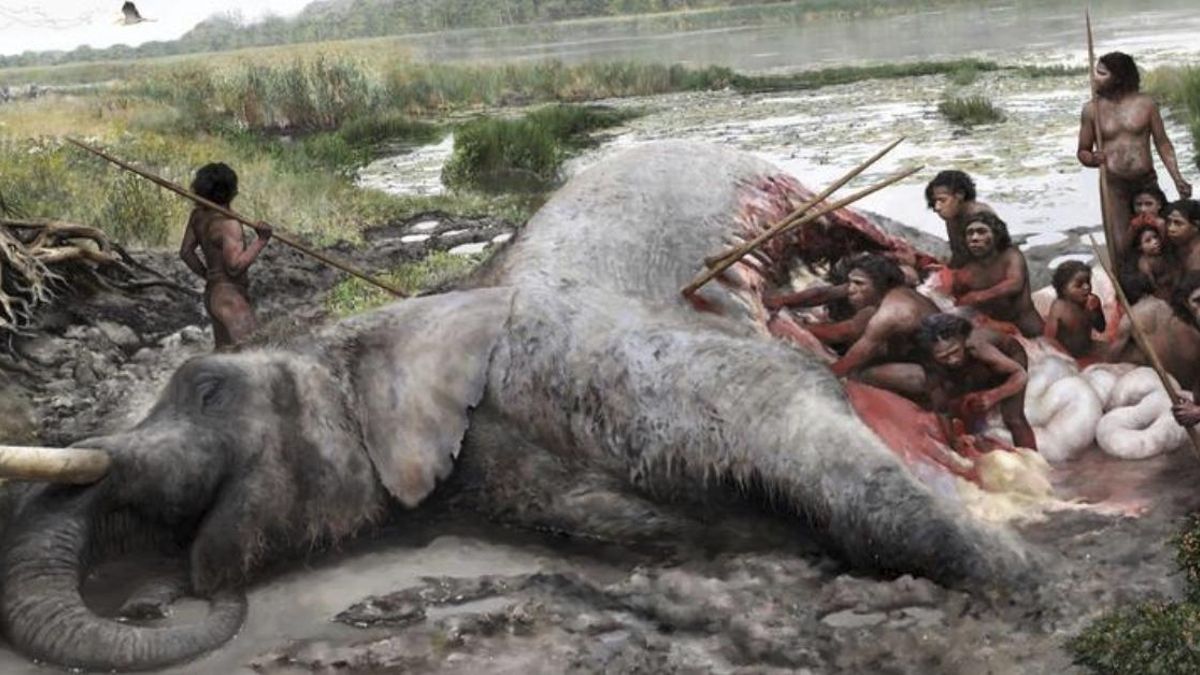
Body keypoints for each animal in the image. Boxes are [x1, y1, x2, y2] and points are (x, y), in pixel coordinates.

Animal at [0, 141, 1031, 671]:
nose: (157, 600)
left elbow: (793, 404)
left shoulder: (595, 349)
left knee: (880, 234)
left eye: (206, 386)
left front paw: (1019, 574)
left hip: (806, 197)